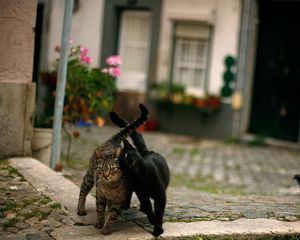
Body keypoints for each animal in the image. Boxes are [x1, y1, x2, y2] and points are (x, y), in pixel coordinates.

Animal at [77, 103, 148, 234]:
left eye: (112, 169)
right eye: (101, 169)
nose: (105, 176)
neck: (110, 188)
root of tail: (113, 141)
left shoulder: (119, 201)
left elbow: (112, 215)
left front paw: (107, 227)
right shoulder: (100, 195)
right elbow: (99, 210)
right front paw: (99, 223)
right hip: (89, 177)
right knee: (83, 191)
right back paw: (80, 209)